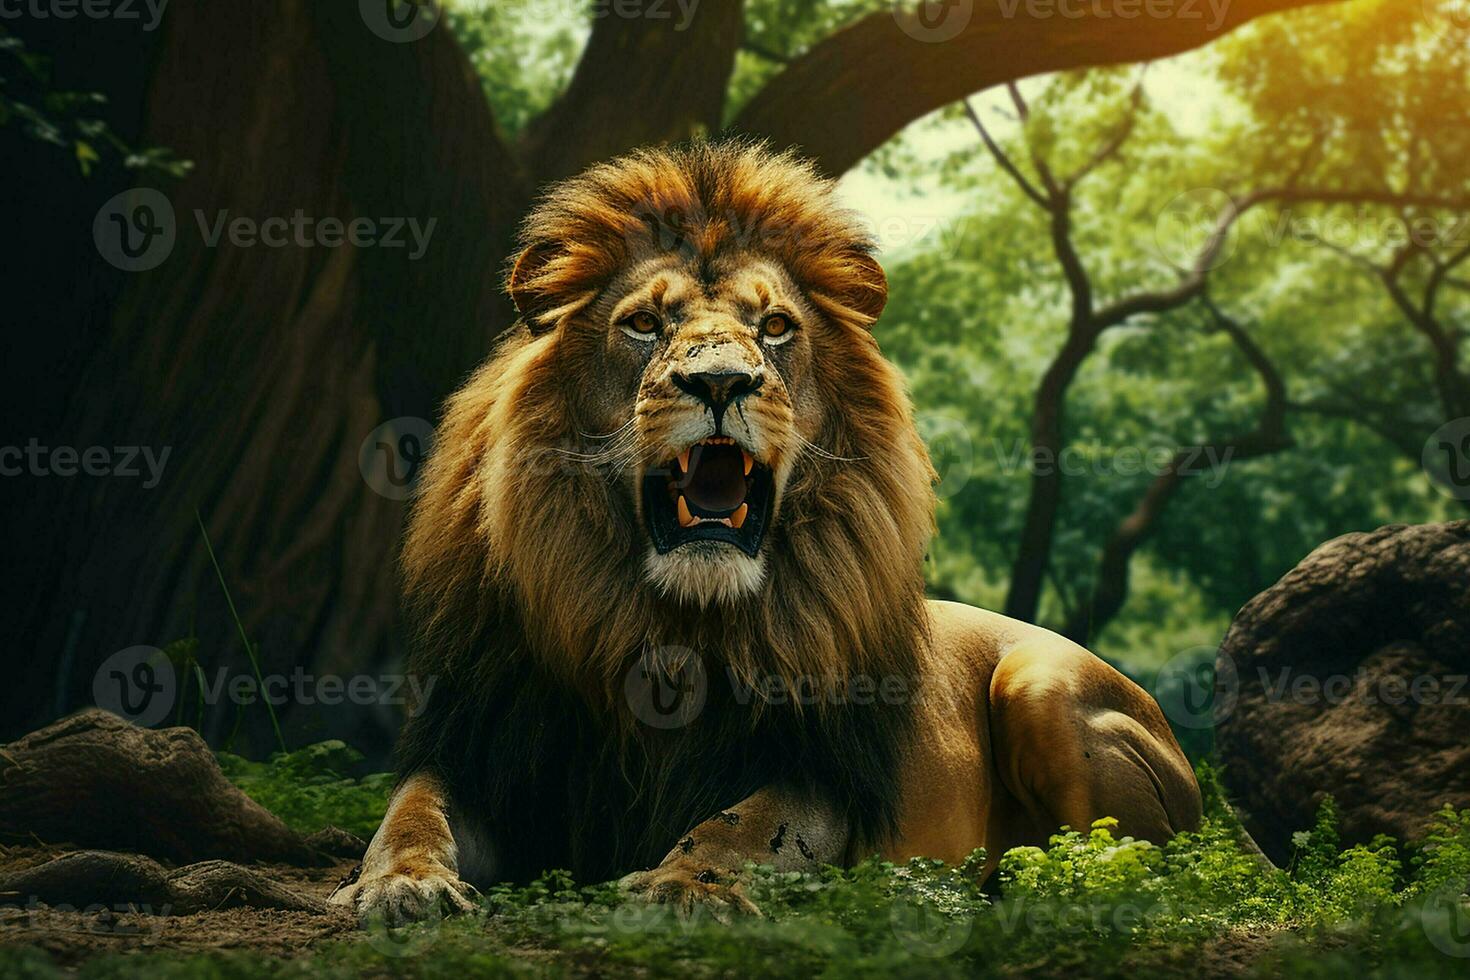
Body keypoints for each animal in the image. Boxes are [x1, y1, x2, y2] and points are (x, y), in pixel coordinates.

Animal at [336, 141, 1205, 922]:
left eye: (778, 326)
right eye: (644, 323)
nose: (721, 380)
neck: (671, 628)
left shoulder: (822, 774)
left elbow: (744, 826)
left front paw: (682, 886)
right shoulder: (479, 739)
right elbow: (410, 812)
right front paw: (400, 884)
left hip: (1042, 684)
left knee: (1144, 869)